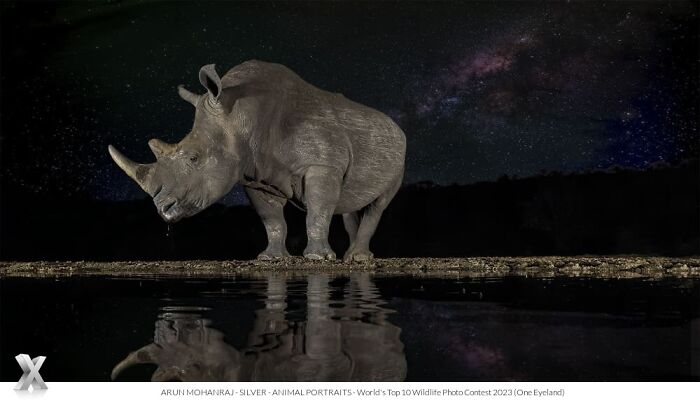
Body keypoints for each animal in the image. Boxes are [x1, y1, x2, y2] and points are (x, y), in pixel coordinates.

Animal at [108, 60, 406, 261]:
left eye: (194, 157)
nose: (163, 209)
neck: (241, 116)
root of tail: (396, 126)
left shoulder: (322, 165)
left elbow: (317, 213)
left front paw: (318, 258)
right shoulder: (256, 177)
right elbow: (271, 220)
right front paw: (271, 258)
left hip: (401, 154)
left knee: (378, 204)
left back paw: (358, 258)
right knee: (349, 204)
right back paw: (350, 258)